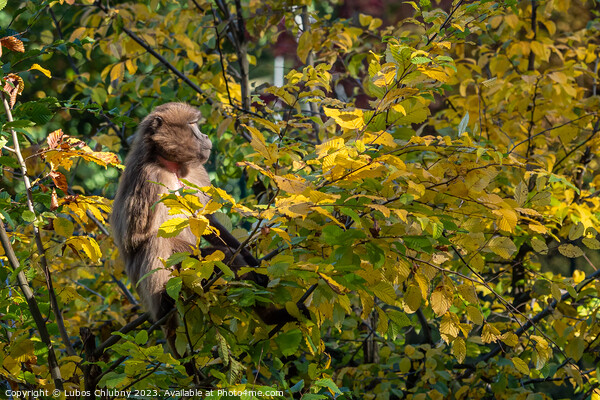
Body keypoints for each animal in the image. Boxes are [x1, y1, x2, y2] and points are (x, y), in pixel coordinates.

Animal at [109, 102, 300, 344]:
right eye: (192, 125)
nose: (206, 136)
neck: (171, 166)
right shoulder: (148, 178)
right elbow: (136, 238)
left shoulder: (194, 173)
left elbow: (207, 220)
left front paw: (252, 261)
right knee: (157, 245)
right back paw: (164, 304)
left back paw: (270, 316)